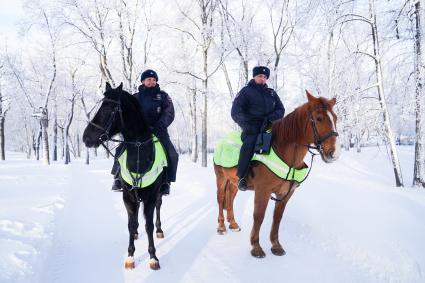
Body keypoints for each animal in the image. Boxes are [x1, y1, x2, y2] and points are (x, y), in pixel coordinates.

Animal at [82, 82, 165, 270]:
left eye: (108, 108)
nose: (86, 138)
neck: (139, 154)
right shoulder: (127, 196)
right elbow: (130, 224)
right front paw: (130, 256)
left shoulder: (150, 196)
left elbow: (148, 225)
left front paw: (153, 257)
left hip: (158, 193)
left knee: (158, 208)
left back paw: (159, 230)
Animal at [214, 92, 340, 258]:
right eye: (319, 118)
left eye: (335, 118)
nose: (333, 153)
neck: (283, 152)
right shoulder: (263, 191)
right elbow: (259, 216)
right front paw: (256, 247)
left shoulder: (285, 194)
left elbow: (277, 218)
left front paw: (276, 245)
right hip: (221, 178)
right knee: (221, 199)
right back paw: (221, 227)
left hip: (234, 182)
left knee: (230, 200)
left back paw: (233, 224)